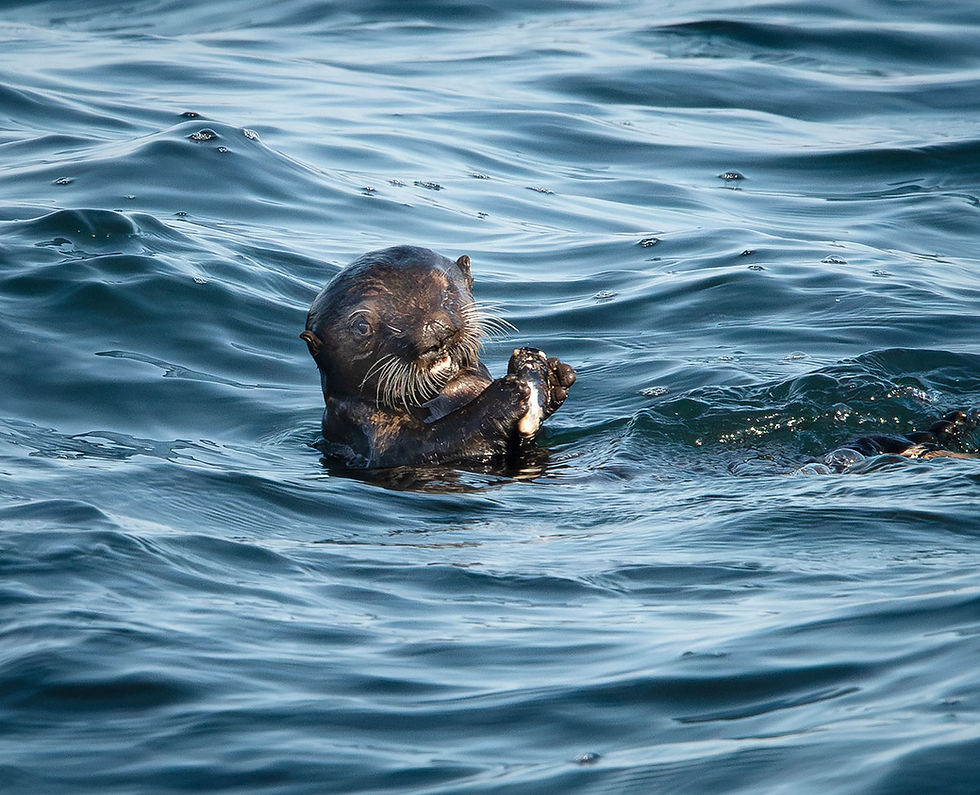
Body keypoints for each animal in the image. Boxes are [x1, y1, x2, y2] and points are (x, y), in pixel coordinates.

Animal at [301, 246, 576, 468]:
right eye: (361, 327)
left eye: (448, 290)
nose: (436, 330)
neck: (445, 395)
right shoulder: (362, 426)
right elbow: (426, 443)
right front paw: (503, 396)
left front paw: (555, 376)